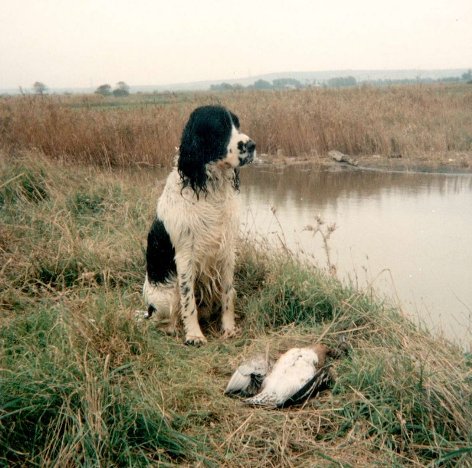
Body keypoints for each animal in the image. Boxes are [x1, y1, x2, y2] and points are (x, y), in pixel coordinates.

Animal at [143, 107, 256, 348]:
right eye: (220, 127)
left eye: (237, 124)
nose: (251, 145)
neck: (210, 189)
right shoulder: (185, 256)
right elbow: (188, 301)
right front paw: (194, 335)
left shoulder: (227, 252)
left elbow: (228, 295)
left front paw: (229, 329)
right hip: (165, 296)